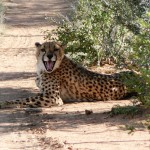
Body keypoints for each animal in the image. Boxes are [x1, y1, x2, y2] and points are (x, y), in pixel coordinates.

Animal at [0, 42, 135, 108]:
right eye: (43, 49)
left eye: (55, 49)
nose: (49, 56)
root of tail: (134, 73)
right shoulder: (47, 94)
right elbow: (29, 97)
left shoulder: (52, 97)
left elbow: (25, 99)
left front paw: (6, 103)